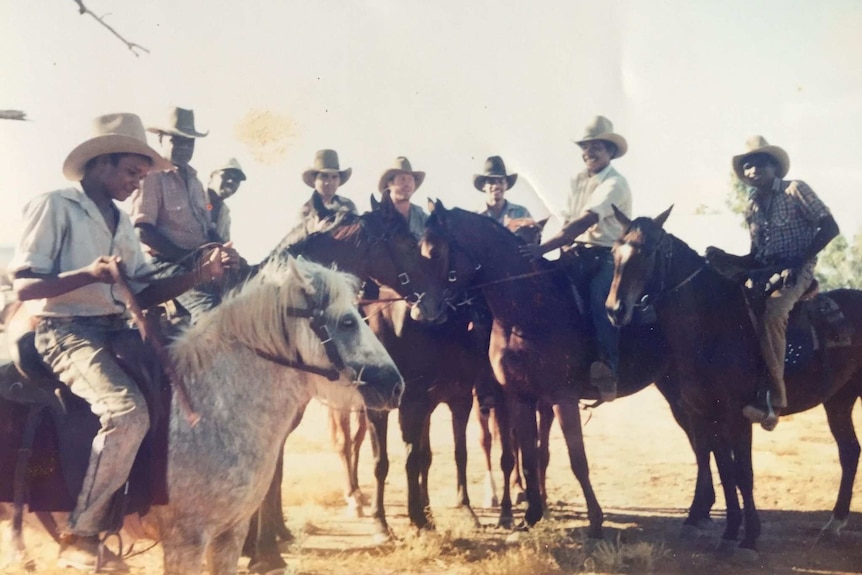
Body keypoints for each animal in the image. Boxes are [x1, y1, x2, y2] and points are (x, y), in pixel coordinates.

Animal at [422, 200, 684, 536]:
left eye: (434, 253)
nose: (424, 307)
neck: (528, 311)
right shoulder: (519, 396)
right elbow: (527, 456)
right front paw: (530, 515)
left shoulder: (562, 397)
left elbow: (576, 458)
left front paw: (595, 520)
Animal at [608, 207, 862, 560]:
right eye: (613, 252)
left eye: (647, 252)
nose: (614, 309)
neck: (713, 324)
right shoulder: (704, 413)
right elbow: (723, 468)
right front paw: (728, 532)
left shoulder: (736, 416)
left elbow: (743, 473)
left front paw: (749, 537)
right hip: (839, 400)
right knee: (850, 451)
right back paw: (834, 522)